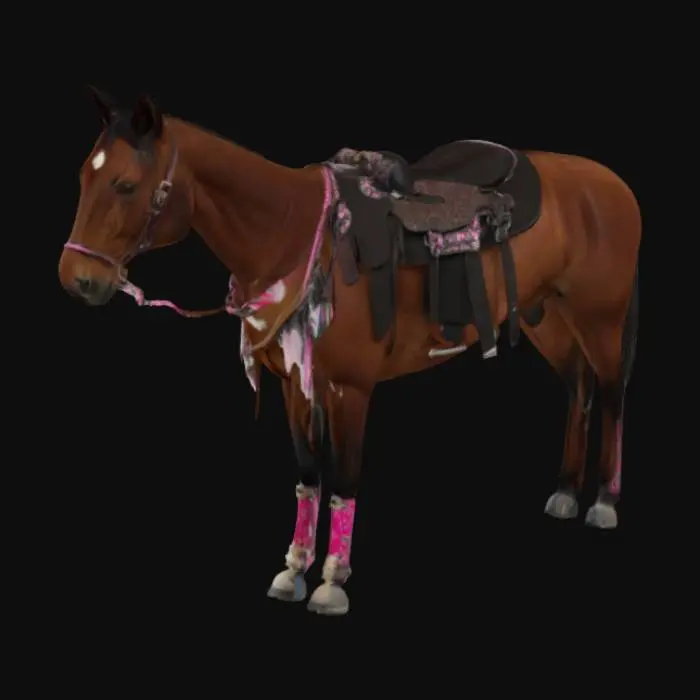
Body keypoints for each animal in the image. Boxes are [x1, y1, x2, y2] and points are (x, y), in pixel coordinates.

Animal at [58, 88, 641, 616]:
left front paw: (332, 581)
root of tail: (613, 185)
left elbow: (344, 477)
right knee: (579, 388)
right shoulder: (295, 384)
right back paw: (565, 491)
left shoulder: (351, 390)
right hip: (547, 314)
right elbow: (307, 474)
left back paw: (603, 501)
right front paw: (294, 569)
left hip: (600, 318)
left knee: (611, 392)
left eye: (126, 185)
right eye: (85, 177)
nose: (77, 278)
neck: (291, 233)